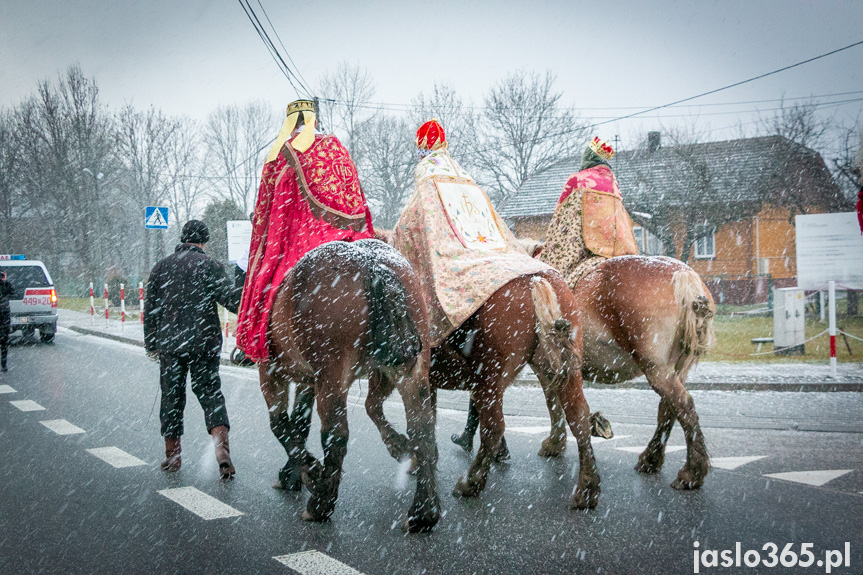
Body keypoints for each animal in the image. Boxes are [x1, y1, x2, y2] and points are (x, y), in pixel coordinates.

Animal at [260, 238, 442, 532]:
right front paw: (294, 474)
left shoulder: (269, 372)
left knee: (336, 434)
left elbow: (280, 425)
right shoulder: (308, 381)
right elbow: (299, 423)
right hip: (407, 372)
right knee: (421, 428)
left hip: (334, 377)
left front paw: (309, 474)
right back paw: (423, 512)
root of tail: (371, 262)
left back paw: (321, 504)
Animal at [362, 272, 600, 510]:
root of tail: (536, 280)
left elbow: (376, 407)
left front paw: (400, 449)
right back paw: (586, 489)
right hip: (559, 371)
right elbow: (425, 418)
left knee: (494, 426)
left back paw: (470, 483)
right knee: (578, 417)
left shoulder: (391, 370)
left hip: (488, 378)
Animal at [540, 256, 716, 490]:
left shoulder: (548, 367)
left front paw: (554, 444)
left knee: (682, 405)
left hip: (656, 369)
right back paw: (651, 459)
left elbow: (553, 404)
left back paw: (691, 473)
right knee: (668, 409)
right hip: (676, 368)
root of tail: (684, 275)